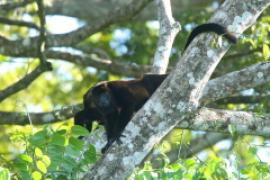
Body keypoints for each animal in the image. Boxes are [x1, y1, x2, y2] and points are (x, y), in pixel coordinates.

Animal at [74, 22, 236, 153]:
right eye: (98, 98)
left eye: (105, 95)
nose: (103, 100)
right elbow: (109, 118)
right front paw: (109, 140)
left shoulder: (118, 91)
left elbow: (127, 106)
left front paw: (117, 134)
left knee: (148, 80)